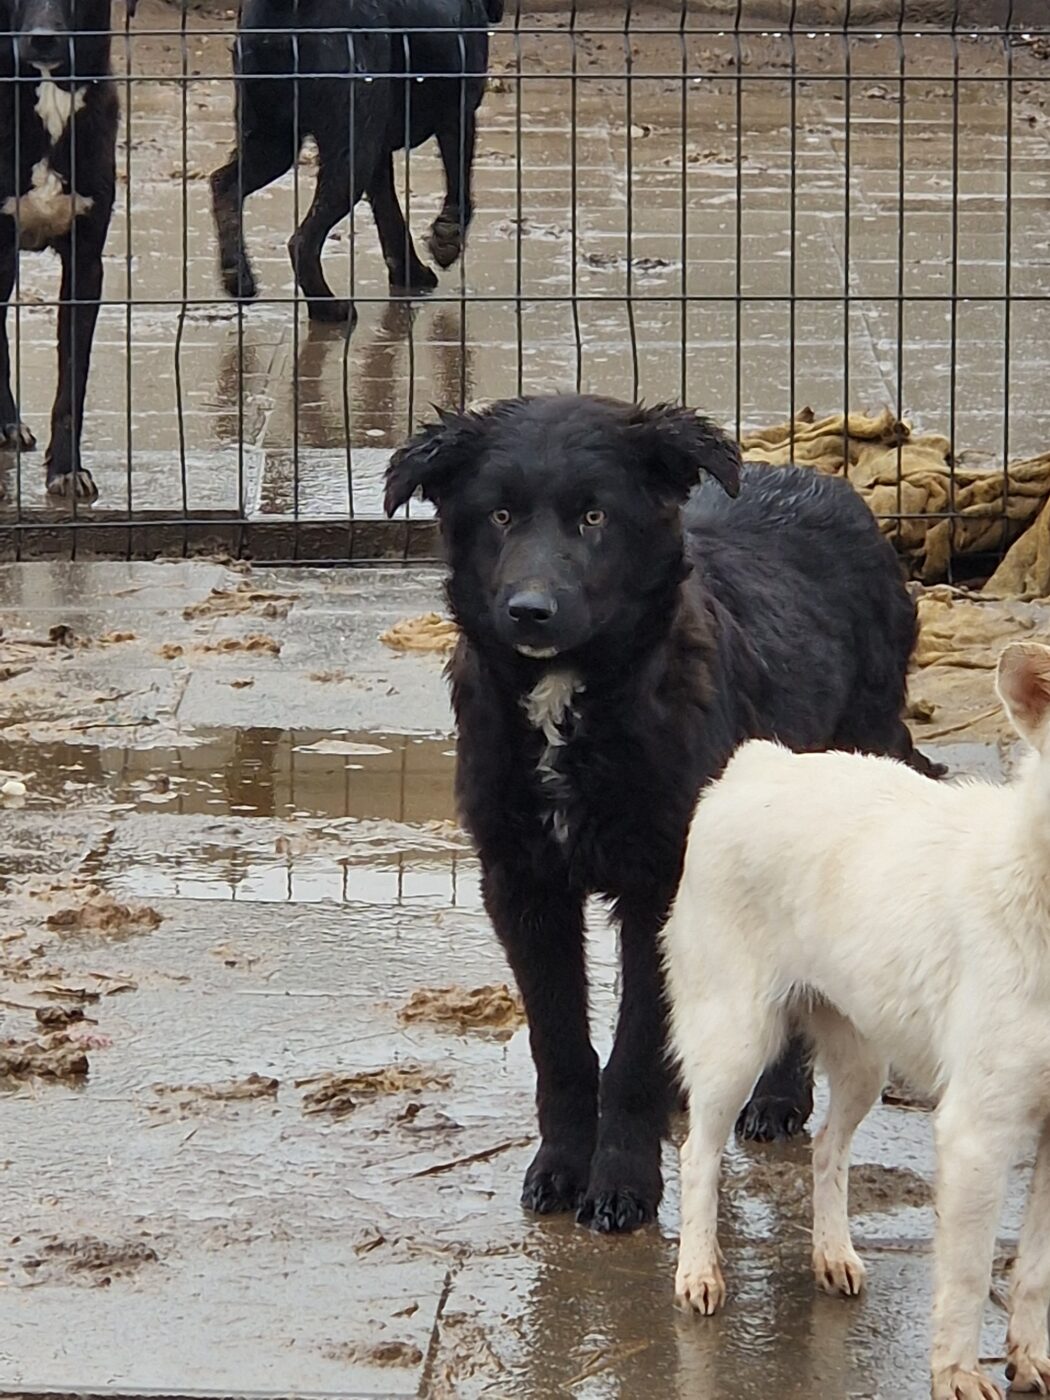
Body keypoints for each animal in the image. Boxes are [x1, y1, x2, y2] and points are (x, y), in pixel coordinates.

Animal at [210, 0, 500, 328]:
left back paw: (238, 277)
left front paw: (409, 273)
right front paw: (446, 239)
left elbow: (389, 215)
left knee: (225, 186)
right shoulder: (457, 114)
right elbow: (458, 183)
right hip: (349, 155)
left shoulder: (379, 150)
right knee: (302, 241)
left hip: (273, 143)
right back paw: (329, 308)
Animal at [383, 393, 941, 1234]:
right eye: (500, 514)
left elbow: (634, 1053)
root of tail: (821, 482)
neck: (569, 705)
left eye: (594, 516)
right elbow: (561, 1045)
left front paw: (623, 1184)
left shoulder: (662, 881)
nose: (530, 612)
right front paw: (559, 1169)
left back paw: (778, 1098)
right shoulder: (522, 882)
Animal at [665, 642, 1050, 1400]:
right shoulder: (977, 1133)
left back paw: (832, 1253)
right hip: (734, 1041)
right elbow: (967, 1276)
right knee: (698, 1154)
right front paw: (957, 1373)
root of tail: (758, 764)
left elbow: (1036, 1271)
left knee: (825, 1149)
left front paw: (1029, 1357)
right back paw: (698, 1272)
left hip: (865, 1060)